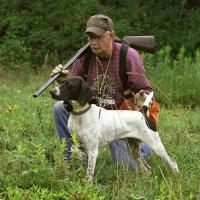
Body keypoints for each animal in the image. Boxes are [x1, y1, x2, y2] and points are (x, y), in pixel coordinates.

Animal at [49, 76, 178, 180]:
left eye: (69, 85)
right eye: (61, 82)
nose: (51, 91)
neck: (80, 115)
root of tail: (142, 112)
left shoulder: (93, 150)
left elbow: (89, 172)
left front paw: (87, 185)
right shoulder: (78, 144)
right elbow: (74, 154)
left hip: (156, 146)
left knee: (173, 163)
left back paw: (176, 177)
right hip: (133, 150)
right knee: (147, 168)